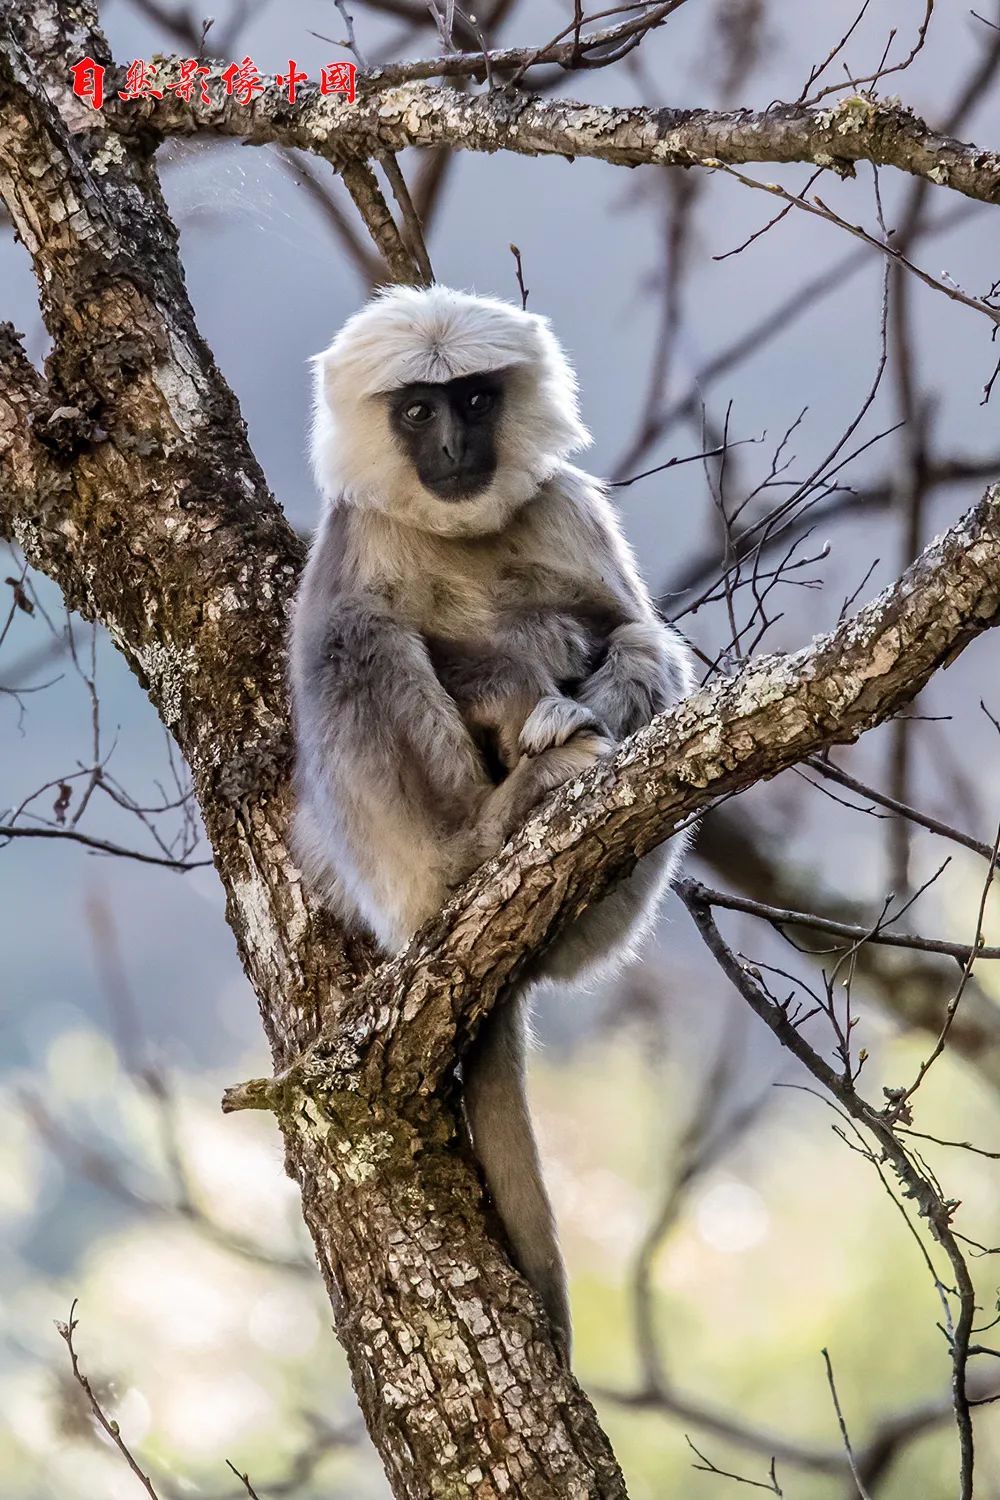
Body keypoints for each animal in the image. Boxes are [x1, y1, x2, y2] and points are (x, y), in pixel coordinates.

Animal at [289, 283, 695, 1362]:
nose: (452, 443)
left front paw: (585, 696)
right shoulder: (350, 536)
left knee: (652, 648)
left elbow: (630, 628)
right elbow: (401, 639)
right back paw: (494, 823)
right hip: (396, 865)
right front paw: (531, 707)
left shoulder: (569, 507)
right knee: (360, 639)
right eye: (417, 409)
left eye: (474, 399)